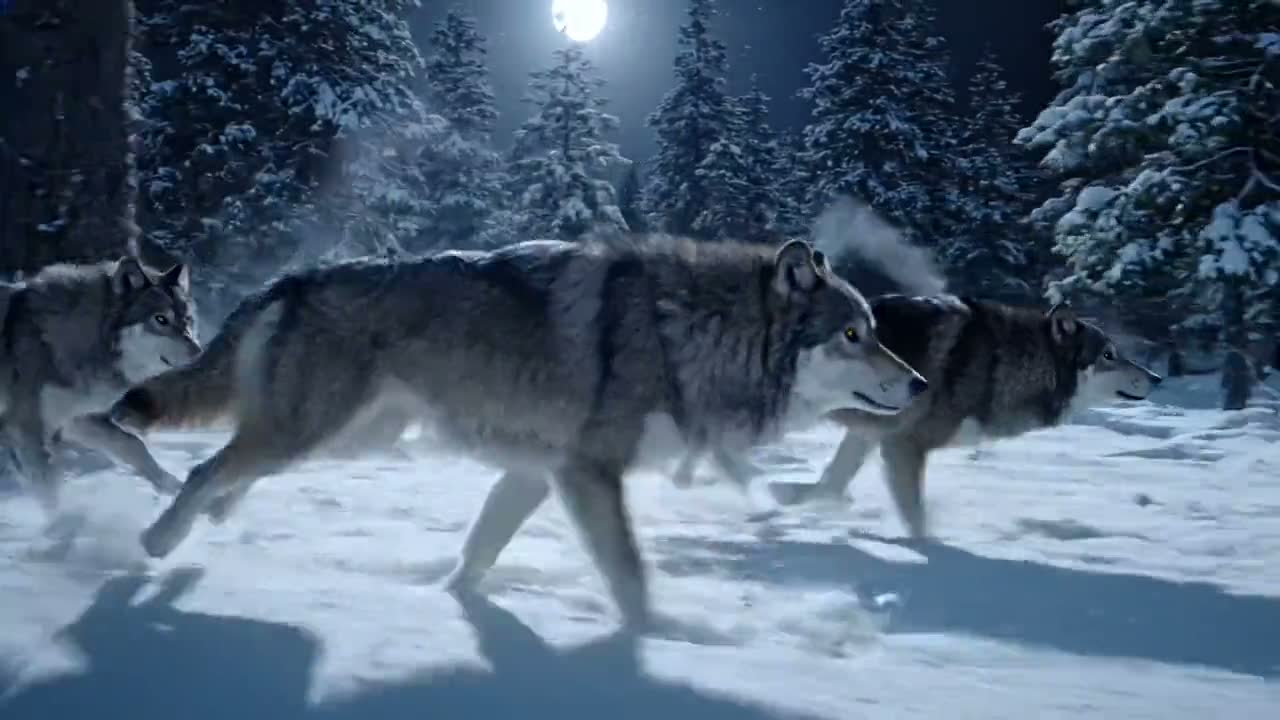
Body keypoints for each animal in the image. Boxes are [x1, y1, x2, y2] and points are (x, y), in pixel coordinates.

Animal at [0, 257, 200, 510]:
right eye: (161, 319)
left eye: (188, 320)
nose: (199, 352)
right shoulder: (25, 429)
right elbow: (51, 492)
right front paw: (67, 519)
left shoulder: (75, 420)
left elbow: (134, 444)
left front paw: (173, 486)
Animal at [109, 236, 927, 629]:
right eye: (852, 334)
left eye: (874, 329)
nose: (920, 384)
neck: (688, 333)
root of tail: (292, 276)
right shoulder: (588, 475)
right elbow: (629, 577)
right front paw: (662, 637)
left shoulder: (539, 474)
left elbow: (478, 554)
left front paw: (446, 602)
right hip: (311, 433)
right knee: (202, 470)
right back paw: (156, 542)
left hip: (345, 439)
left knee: (229, 472)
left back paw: (206, 526)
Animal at [679, 201, 1163, 539]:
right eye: (1109, 354)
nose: (1158, 379)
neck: (1004, 361)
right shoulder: (902, 447)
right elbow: (915, 519)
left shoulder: (870, 434)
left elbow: (829, 485)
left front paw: (796, 504)